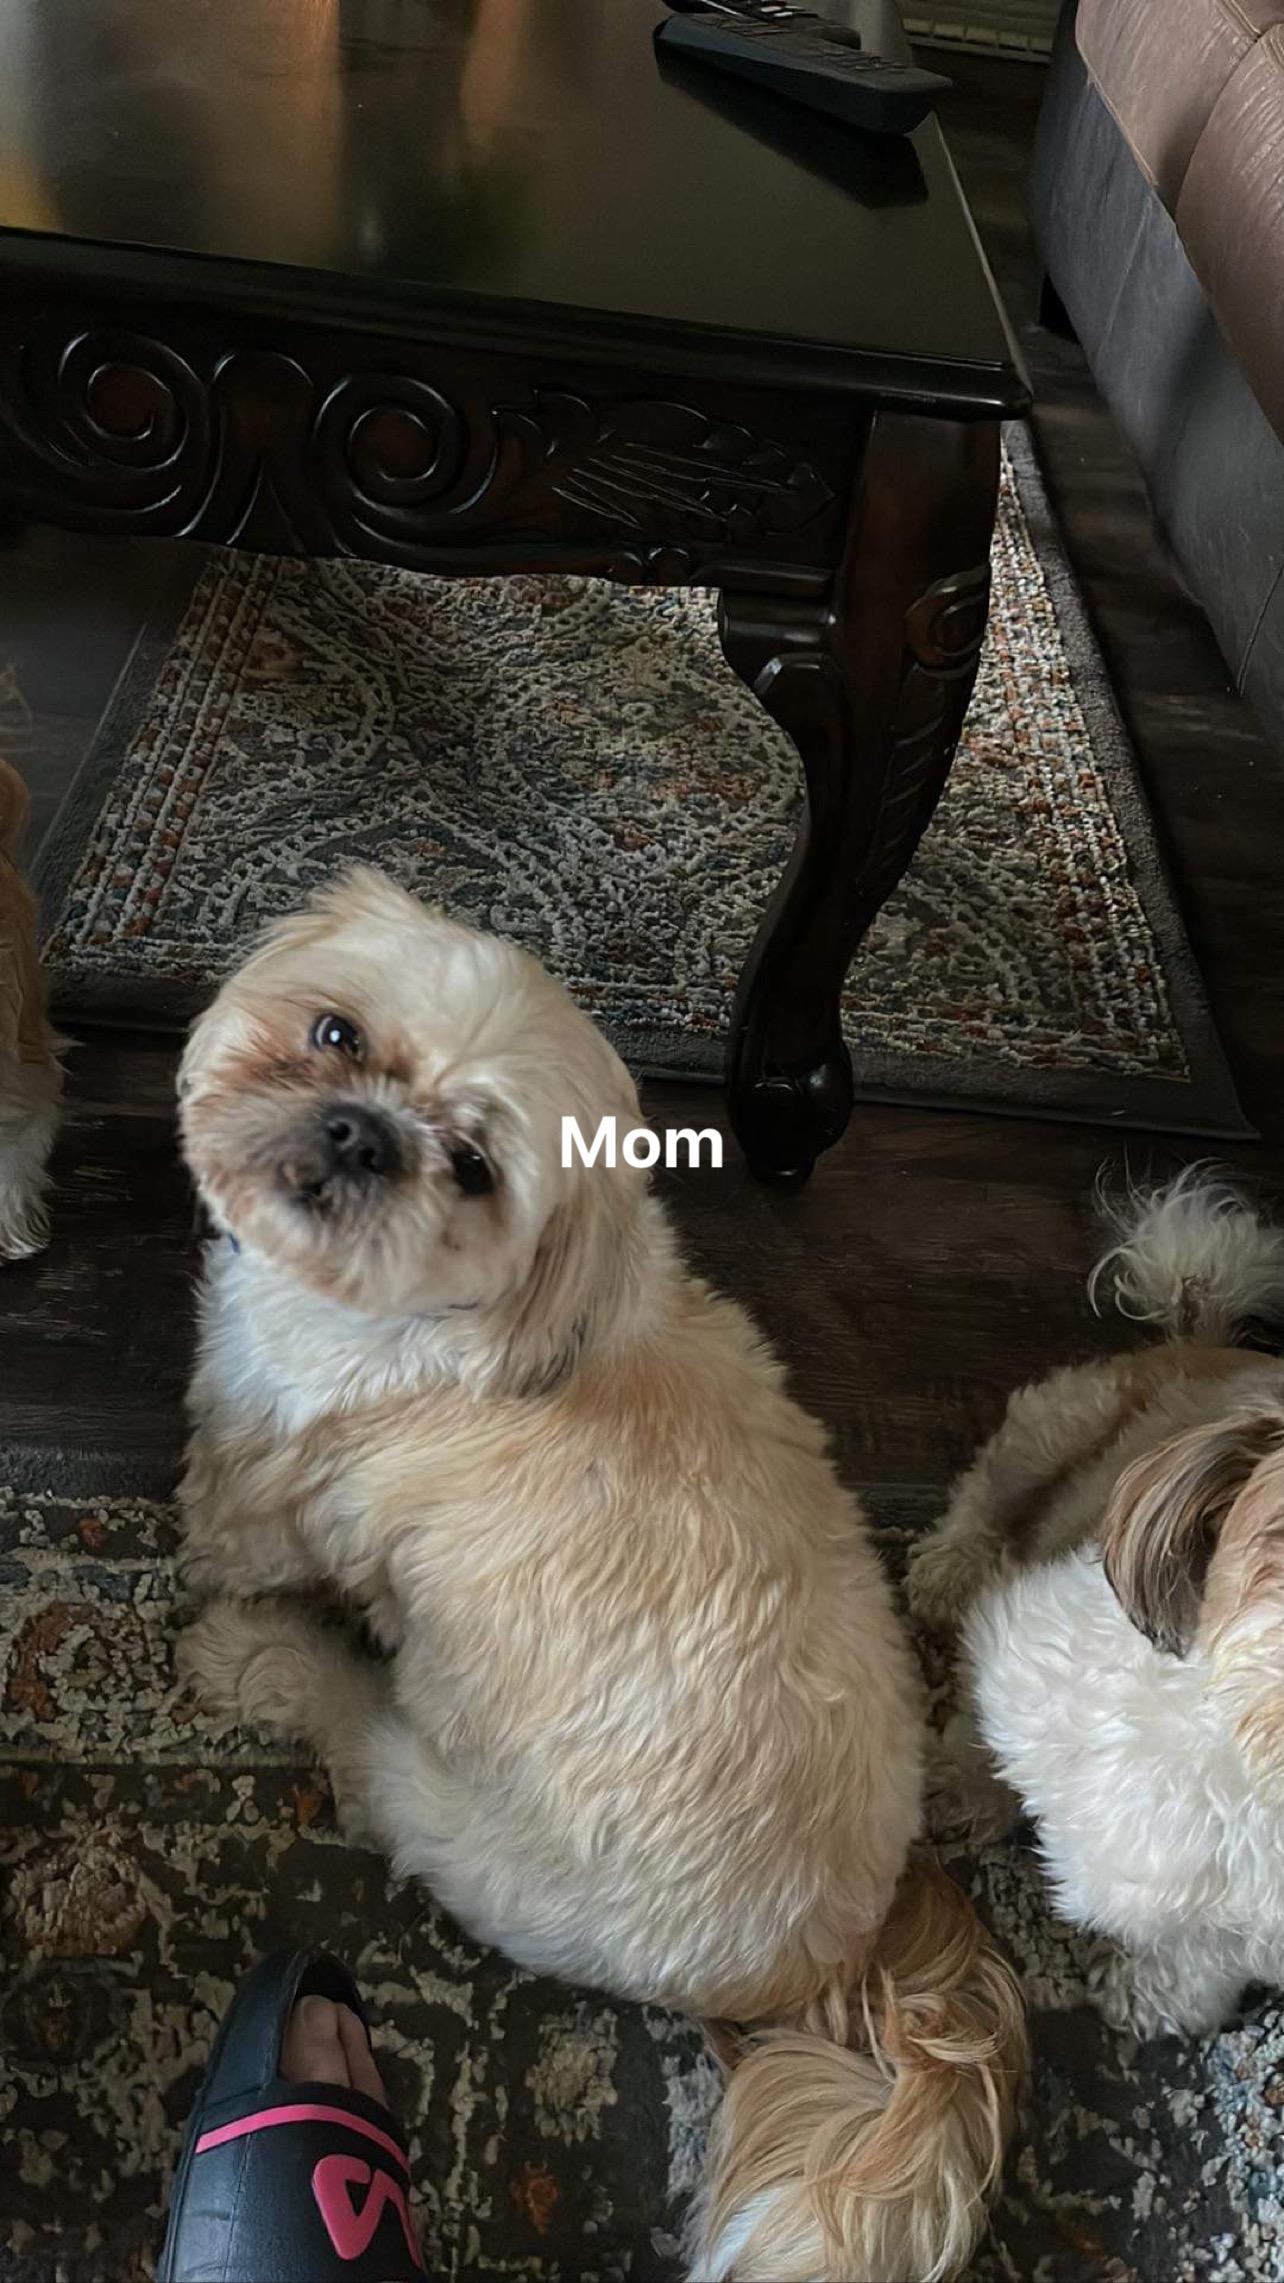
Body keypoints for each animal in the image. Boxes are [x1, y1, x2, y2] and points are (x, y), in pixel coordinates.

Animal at [176, 867, 1024, 2283]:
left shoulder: (266, 1473)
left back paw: (269, 1664)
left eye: (471, 1169)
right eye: (335, 1033)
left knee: (361, 1748)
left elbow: (220, 1515)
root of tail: (834, 1950)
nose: (361, 1133)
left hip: (453, 1816)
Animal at [909, 1172, 1284, 2039]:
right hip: (1060, 1420)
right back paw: (947, 1565)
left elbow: (1205, 1961)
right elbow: (981, 1741)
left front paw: (1152, 1997)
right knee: (986, 1490)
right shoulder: (1018, 1652)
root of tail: (1205, 1335)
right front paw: (946, 1787)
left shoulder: (1255, 1935)